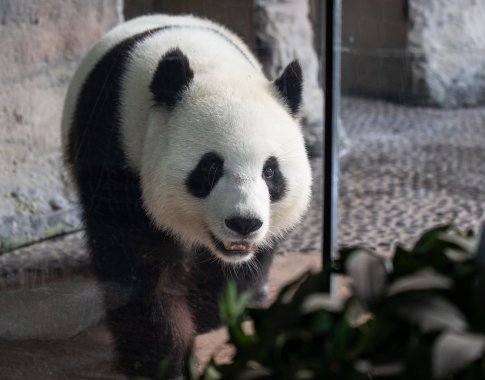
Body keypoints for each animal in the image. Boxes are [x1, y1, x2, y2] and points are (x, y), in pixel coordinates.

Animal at [61, 14, 310, 380]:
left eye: (270, 171)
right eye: (210, 168)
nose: (244, 223)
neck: (211, 66)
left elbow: (239, 267)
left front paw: (210, 312)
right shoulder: (116, 149)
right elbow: (140, 264)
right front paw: (161, 359)